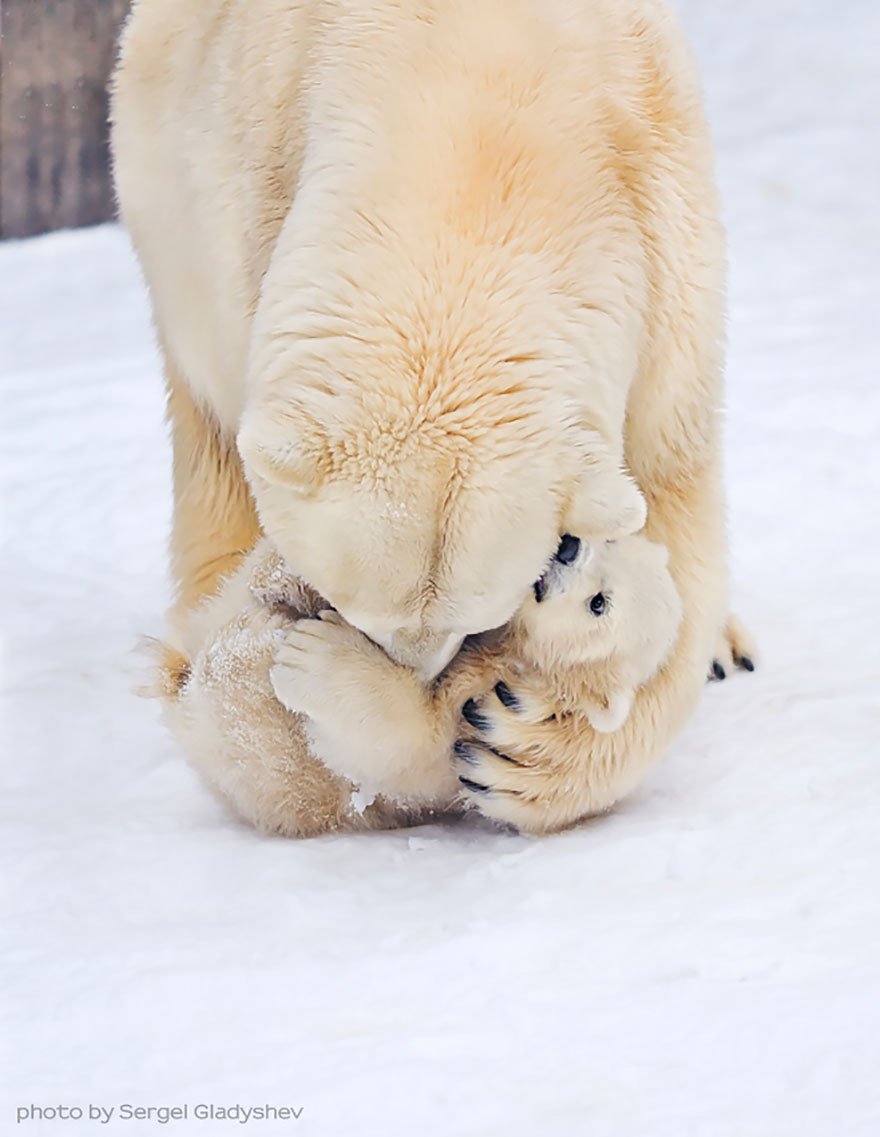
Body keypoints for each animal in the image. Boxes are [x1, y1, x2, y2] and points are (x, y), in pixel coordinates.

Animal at [113, 0, 754, 836]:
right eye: (357, 603)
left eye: (475, 616)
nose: (419, 670)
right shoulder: (253, 191)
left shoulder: (662, 242)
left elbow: (671, 509)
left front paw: (521, 745)